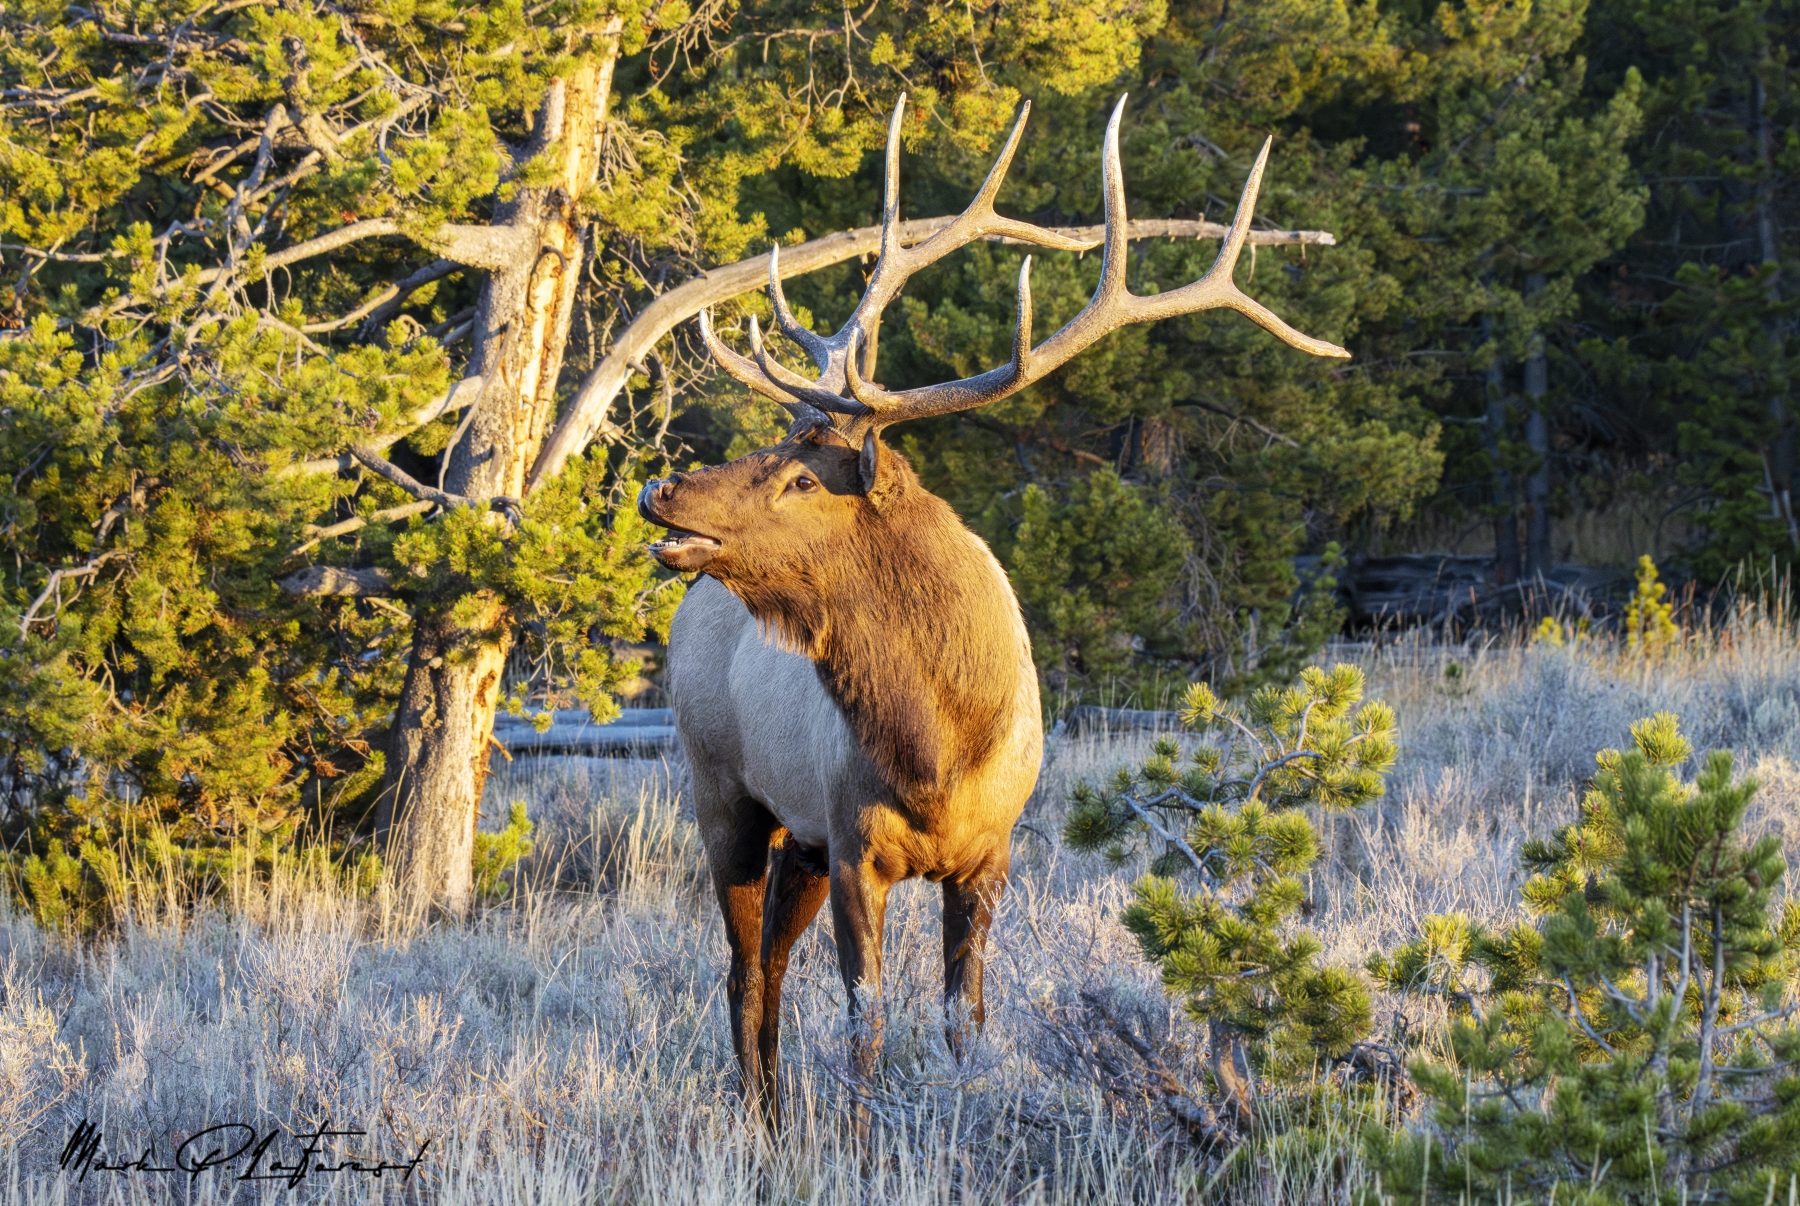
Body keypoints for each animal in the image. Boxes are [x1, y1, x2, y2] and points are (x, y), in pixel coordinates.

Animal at [635, 93, 1349, 1130]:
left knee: (763, 961)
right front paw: (859, 1139)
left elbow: (962, 1019)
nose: (662, 489)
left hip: (790, 835)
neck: (939, 746)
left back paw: (772, 1114)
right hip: (720, 786)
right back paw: (762, 1122)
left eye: (804, 475)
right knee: (741, 970)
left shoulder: (985, 856)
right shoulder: (853, 846)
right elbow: (865, 1019)